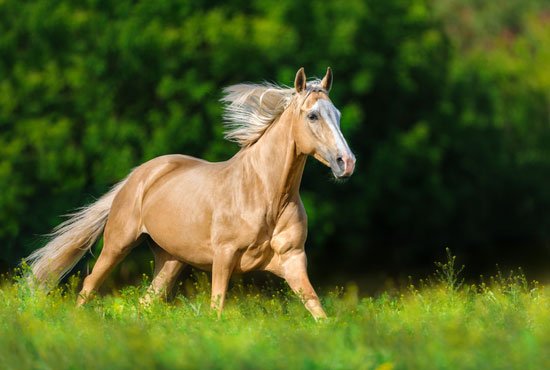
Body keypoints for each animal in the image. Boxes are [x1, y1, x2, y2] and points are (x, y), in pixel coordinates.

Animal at [28, 67, 358, 320]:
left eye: (338, 114)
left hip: (170, 260)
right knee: (88, 287)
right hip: (117, 244)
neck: (266, 196)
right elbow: (216, 308)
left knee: (146, 301)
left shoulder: (293, 259)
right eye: (313, 116)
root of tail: (138, 175)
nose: (347, 162)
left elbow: (318, 311)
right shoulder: (224, 257)